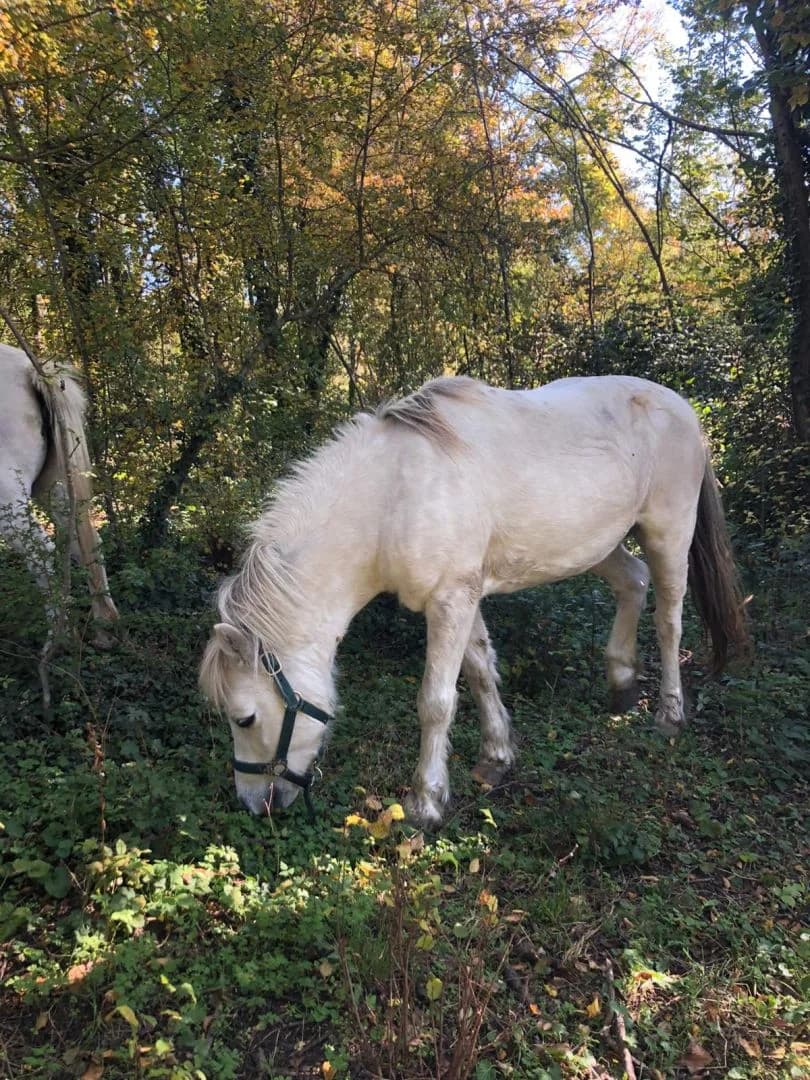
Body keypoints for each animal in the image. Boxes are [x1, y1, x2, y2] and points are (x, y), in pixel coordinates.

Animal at [0, 342, 119, 648]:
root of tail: (34, 370)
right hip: (57, 486)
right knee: (84, 541)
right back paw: (104, 628)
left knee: (40, 551)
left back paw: (59, 639)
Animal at [199, 375, 749, 828]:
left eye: (244, 718)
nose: (254, 804)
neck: (393, 498)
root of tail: (681, 406)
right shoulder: (461, 599)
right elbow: (482, 670)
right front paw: (497, 756)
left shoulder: (450, 602)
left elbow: (436, 702)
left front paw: (426, 803)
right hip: (600, 545)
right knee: (633, 582)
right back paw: (621, 684)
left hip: (669, 535)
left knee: (670, 620)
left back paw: (669, 715)